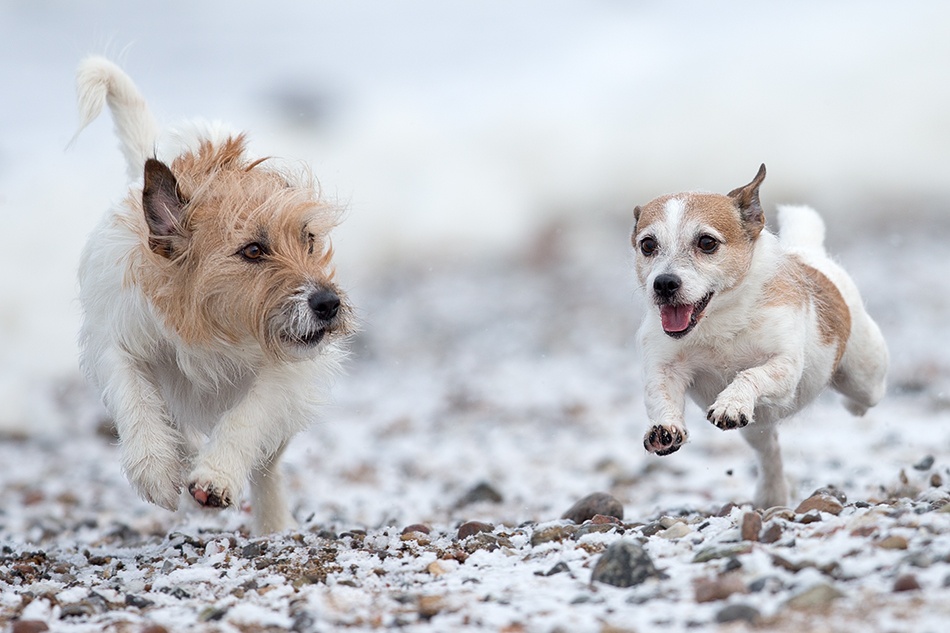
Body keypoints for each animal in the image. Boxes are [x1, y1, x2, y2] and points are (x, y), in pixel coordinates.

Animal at [72, 56, 352, 532]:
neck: (212, 330)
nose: (328, 304)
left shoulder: (286, 372)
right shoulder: (119, 340)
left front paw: (216, 476)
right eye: (253, 250)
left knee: (267, 465)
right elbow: (134, 395)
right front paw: (155, 467)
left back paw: (272, 523)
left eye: (309, 239)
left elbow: (250, 413)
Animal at [632, 165, 892, 506]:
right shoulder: (666, 368)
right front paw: (665, 428)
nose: (663, 283)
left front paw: (731, 402)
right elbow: (661, 396)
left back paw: (855, 407)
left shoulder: (784, 367)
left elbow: (751, 374)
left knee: (868, 394)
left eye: (706, 242)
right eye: (648, 245)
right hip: (756, 427)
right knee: (770, 453)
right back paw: (773, 493)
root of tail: (807, 253)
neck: (719, 320)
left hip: (864, 377)